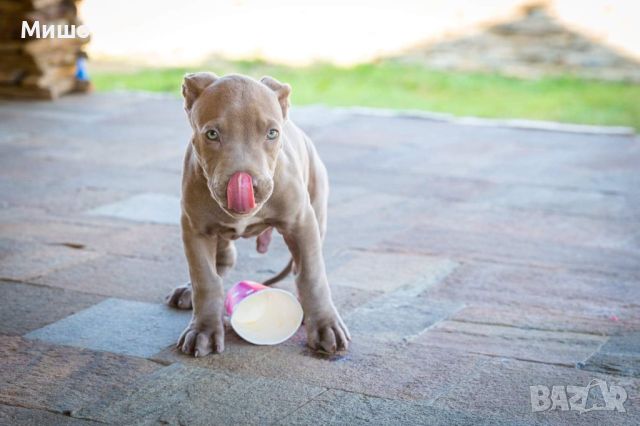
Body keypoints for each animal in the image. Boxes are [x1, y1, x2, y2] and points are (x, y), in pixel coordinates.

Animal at [166, 72, 350, 356]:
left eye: (272, 133)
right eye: (212, 134)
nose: (245, 184)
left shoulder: (301, 223)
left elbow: (312, 275)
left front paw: (325, 325)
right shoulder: (195, 228)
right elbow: (205, 279)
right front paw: (203, 331)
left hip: (317, 208)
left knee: (301, 265)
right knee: (223, 261)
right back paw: (188, 290)